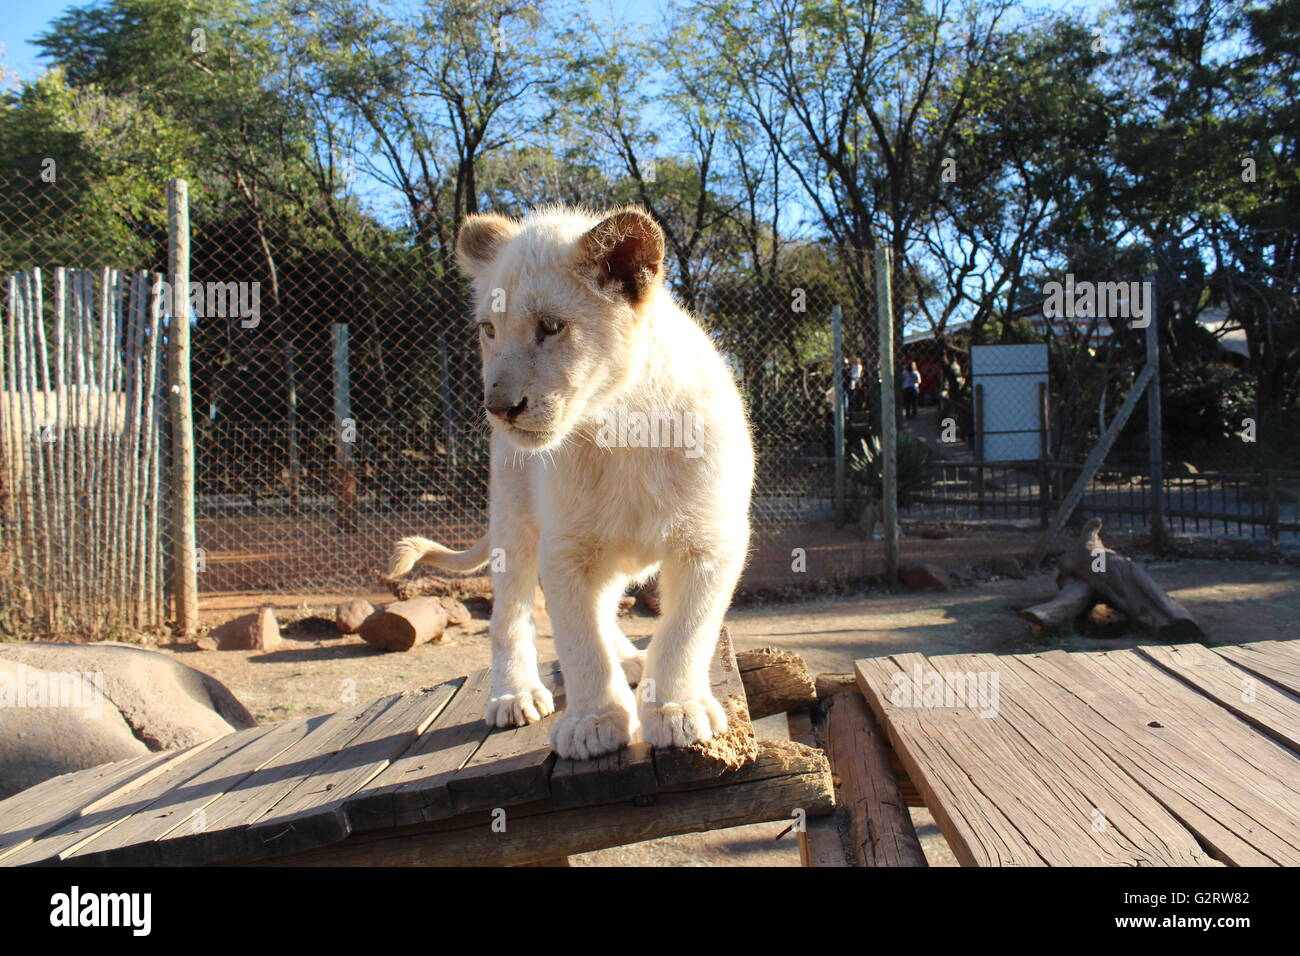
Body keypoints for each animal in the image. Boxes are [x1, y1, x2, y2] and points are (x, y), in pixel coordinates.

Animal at [390, 206, 754, 760]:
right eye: (488, 329)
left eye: (551, 327)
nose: (498, 408)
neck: (621, 428)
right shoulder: (565, 549)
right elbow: (580, 642)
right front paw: (593, 722)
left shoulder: (711, 543)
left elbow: (686, 632)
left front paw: (676, 708)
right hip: (513, 522)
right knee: (510, 613)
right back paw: (515, 695)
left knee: (607, 607)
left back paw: (633, 663)